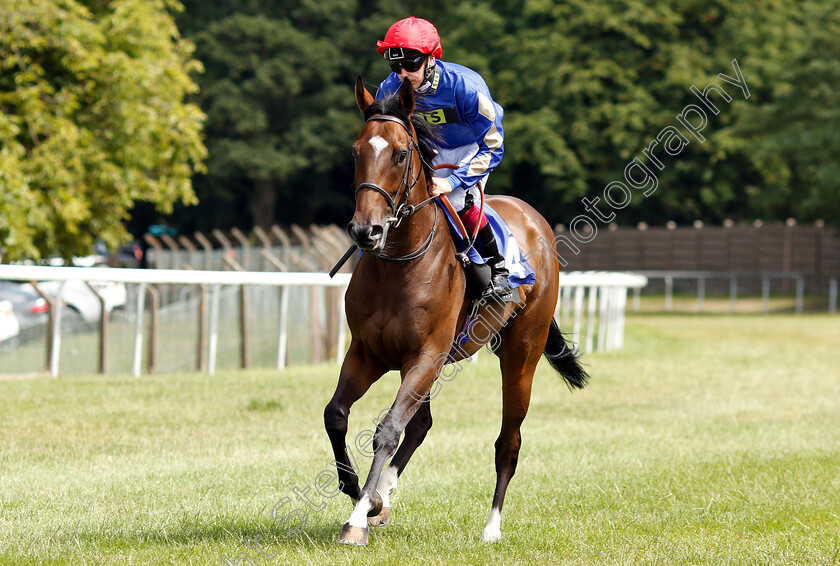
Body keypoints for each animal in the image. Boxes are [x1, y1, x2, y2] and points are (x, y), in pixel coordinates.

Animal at [324, 77, 588, 548]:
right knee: (421, 424)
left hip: (521, 355)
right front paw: (365, 496)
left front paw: (358, 517)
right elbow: (337, 416)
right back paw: (384, 493)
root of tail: (534, 220)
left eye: (400, 153)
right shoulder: (368, 354)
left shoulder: (426, 355)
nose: (365, 230)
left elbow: (387, 429)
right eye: (356, 152)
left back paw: (492, 527)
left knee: (508, 442)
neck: (400, 263)